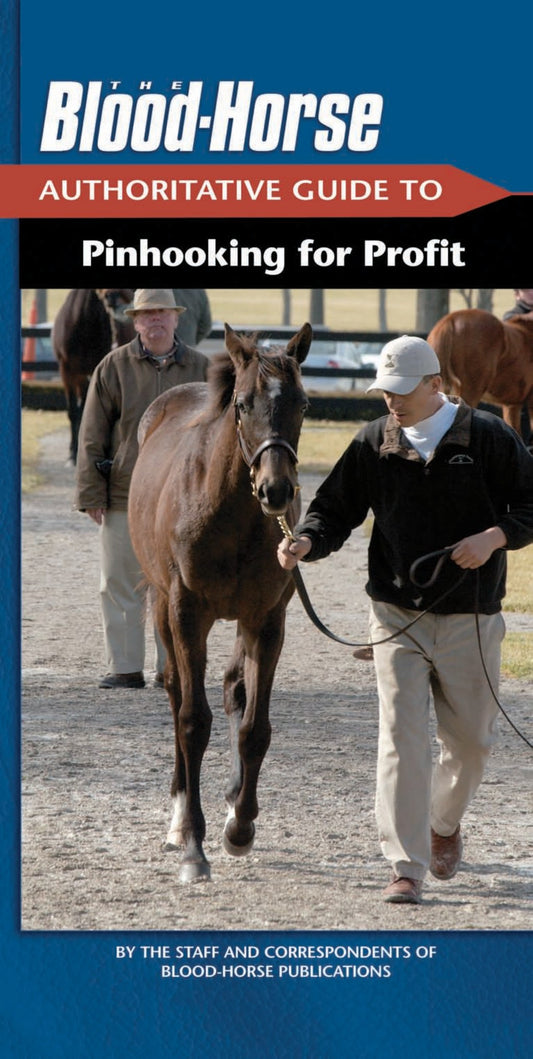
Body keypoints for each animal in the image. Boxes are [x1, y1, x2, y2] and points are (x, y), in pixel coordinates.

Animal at [128, 322, 312, 883]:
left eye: (302, 403)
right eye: (244, 403)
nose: (276, 490)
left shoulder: (267, 620)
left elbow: (254, 727)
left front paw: (240, 826)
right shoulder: (188, 614)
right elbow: (193, 721)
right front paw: (193, 844)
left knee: (234, 690)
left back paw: (232, 801)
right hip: (163, 607)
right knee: (175, 696)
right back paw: (177, 817)